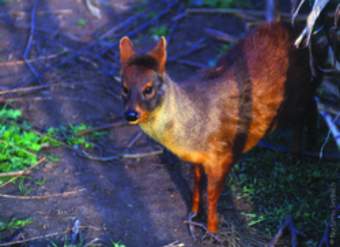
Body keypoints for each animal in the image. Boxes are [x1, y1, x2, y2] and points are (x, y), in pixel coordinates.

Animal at [119, 22, 316, 239]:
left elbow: (213, 195)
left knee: (309, 111)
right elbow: (197, 183)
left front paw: (213, 230)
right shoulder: (197, 157)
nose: (131, 114)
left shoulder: (223, 155)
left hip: (298, 96)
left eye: (148, 88)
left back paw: (301, 154)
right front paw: (194, 214)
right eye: (124, 88)